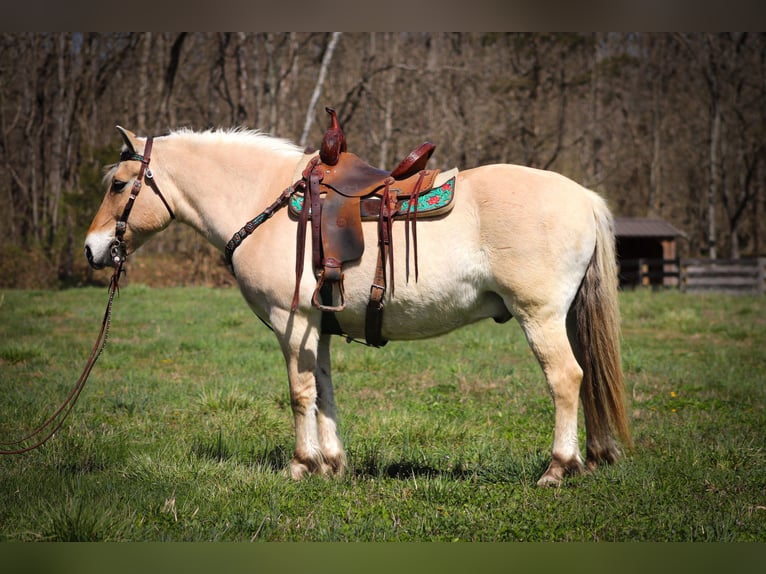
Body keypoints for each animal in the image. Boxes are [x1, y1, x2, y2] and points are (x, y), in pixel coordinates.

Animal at [87, 116, 632, 486]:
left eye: (119, 185)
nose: (93, 250)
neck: (263, 201)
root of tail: (584, 197)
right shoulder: (318, 326)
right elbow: (324, 391)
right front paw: (331, 464)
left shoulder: (291, 321)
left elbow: (299, 393)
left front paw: (301, 465)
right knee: (585, 377)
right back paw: (588, 459)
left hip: (539, 316)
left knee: (566, 379)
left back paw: (557, 468)